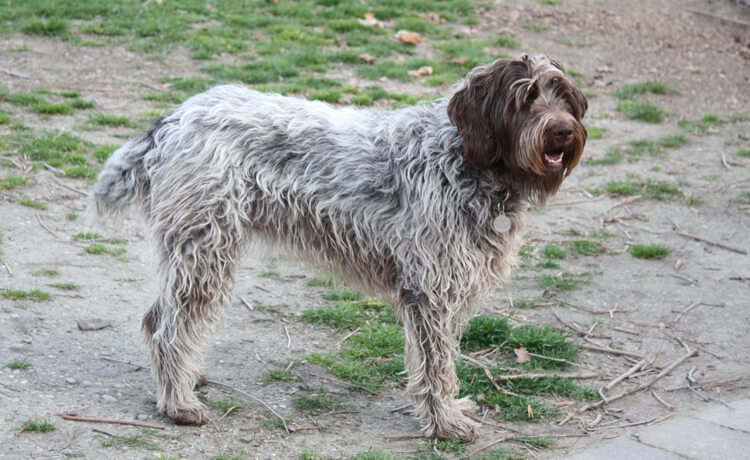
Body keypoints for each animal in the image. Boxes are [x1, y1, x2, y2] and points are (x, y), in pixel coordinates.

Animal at [91, 53, 592, 438]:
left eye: (564, 95)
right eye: (525, 97)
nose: (563, 131)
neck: (466, 159)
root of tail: (173, 119)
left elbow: (444, 359)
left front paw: (449, 412)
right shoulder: (431, 292)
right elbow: (436, 366)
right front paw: (444, 423)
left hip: (195, 250)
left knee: (159, 318)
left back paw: (185, 381)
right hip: (205, 250)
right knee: (168, 328)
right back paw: (178, 403)